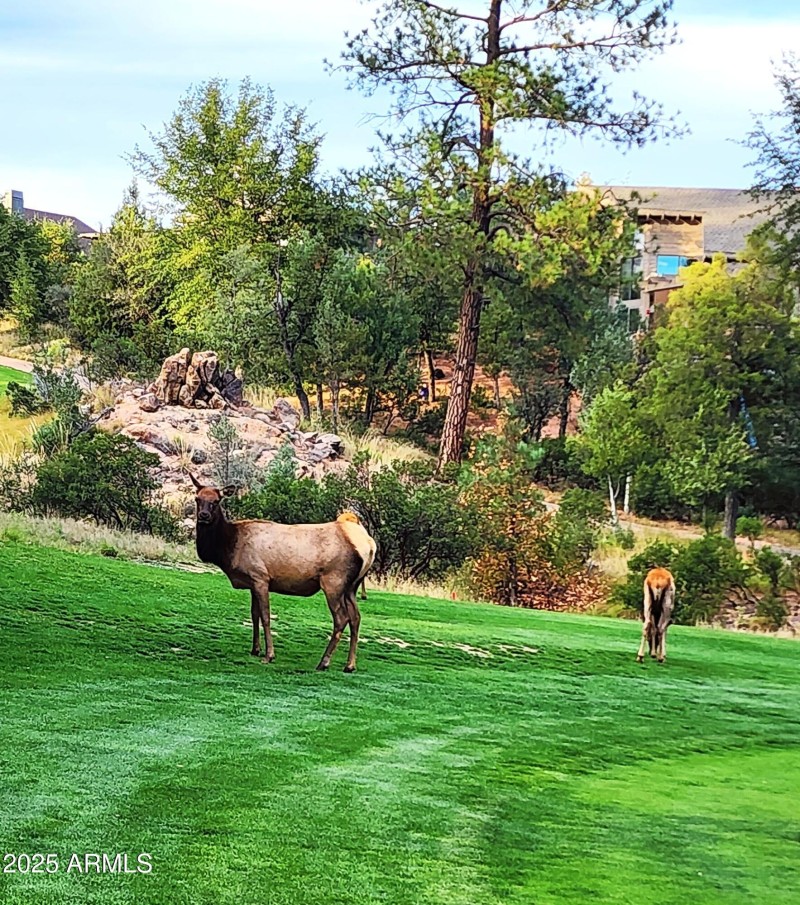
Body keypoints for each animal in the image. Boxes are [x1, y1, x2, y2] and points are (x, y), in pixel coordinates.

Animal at [190, 475, 376, 672]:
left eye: (216, 501)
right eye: (197, 499)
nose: (203, 515)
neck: (229, 547)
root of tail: (370, 545)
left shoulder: (260, 577)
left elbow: (265, 616)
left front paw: (269, 655)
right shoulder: (252, 583)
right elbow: (254, 614)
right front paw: (255, 649)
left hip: (334, 581)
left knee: (342, 618)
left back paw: (324, 662)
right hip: (351, 586)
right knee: (356, 618)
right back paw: (350, 665)